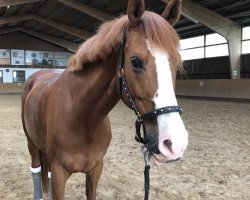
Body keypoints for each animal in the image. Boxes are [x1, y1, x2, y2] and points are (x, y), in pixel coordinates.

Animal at [21, 0, 188, 199]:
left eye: (177, 62)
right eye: (135, 61)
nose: (175, 144)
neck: (82, 118)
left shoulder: (95, 169)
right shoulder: (59, 174)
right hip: (31, 144)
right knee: (36, 168)